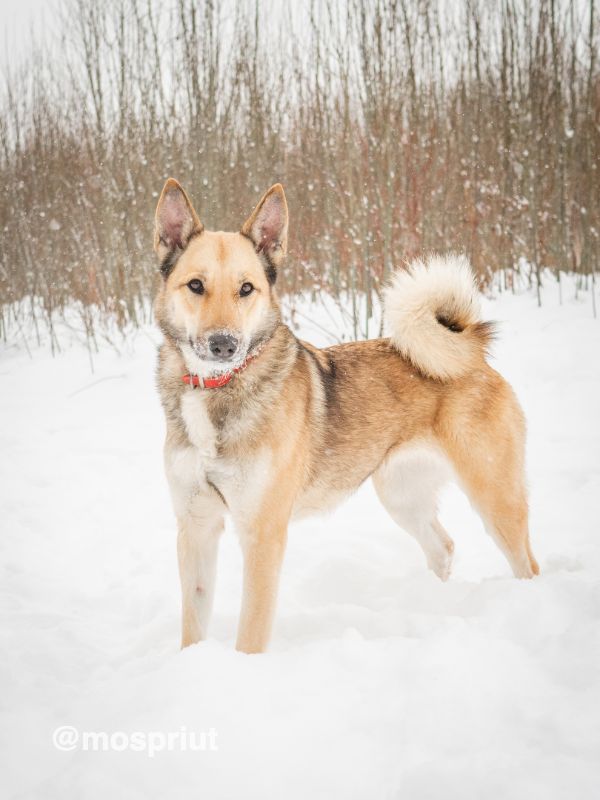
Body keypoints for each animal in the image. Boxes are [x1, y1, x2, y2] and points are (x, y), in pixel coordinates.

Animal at [154, 178, 540, 652]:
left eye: (246, 289)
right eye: (195, 285)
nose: (224, 345)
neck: (216, 391)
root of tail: (473, 357)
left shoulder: (262, 533)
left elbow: (251, 634)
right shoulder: (195, 528)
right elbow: (193, 627)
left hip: (495, 498)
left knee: (526, 565)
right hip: (402, 496)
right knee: (443, 547)